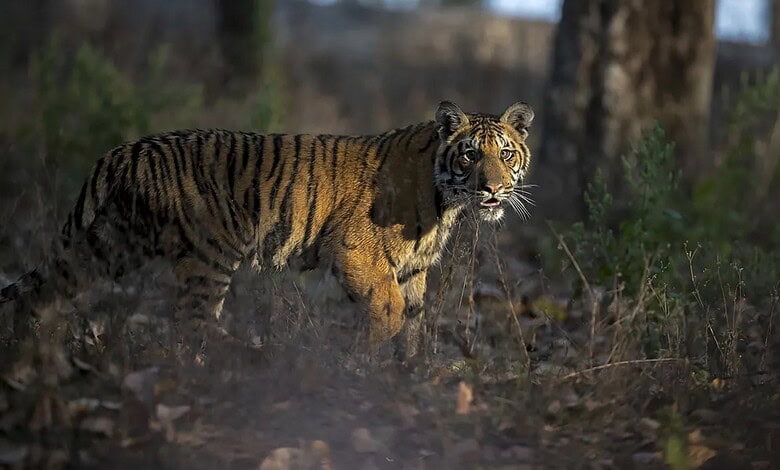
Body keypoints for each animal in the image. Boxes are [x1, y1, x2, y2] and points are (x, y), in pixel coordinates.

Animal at [0, 100, 534, 361]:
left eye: (506, 153)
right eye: (470, 155)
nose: (493, 189)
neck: (448, 204)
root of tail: (129, 148)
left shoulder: (414, 270)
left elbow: (417, 326)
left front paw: (412, 382)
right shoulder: (358, 251)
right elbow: (391, 313)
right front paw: (358, 363)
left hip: (113, 242)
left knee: (45, 286)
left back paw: (27, 347)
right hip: (210, 255)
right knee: (191, 322)